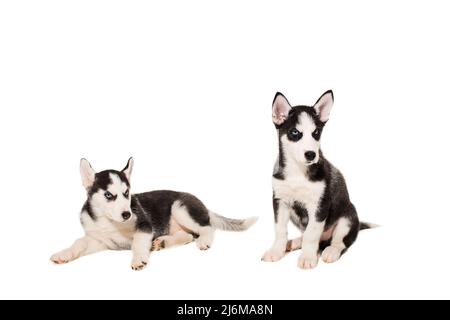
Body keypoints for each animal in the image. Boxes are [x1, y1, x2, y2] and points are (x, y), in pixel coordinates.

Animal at [51, 158, 256, 270]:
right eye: (108, 195)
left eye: (127, 193)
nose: (127, 214)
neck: (108, 221)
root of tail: (204, 207)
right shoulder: (100, 241)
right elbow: (79, 243)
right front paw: (64, 254)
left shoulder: (144, 226)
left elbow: (137, 243)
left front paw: (138, 259)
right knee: (188, 235)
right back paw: (163, 242)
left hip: (180, 207)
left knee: (207, 228)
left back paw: (204, 241)